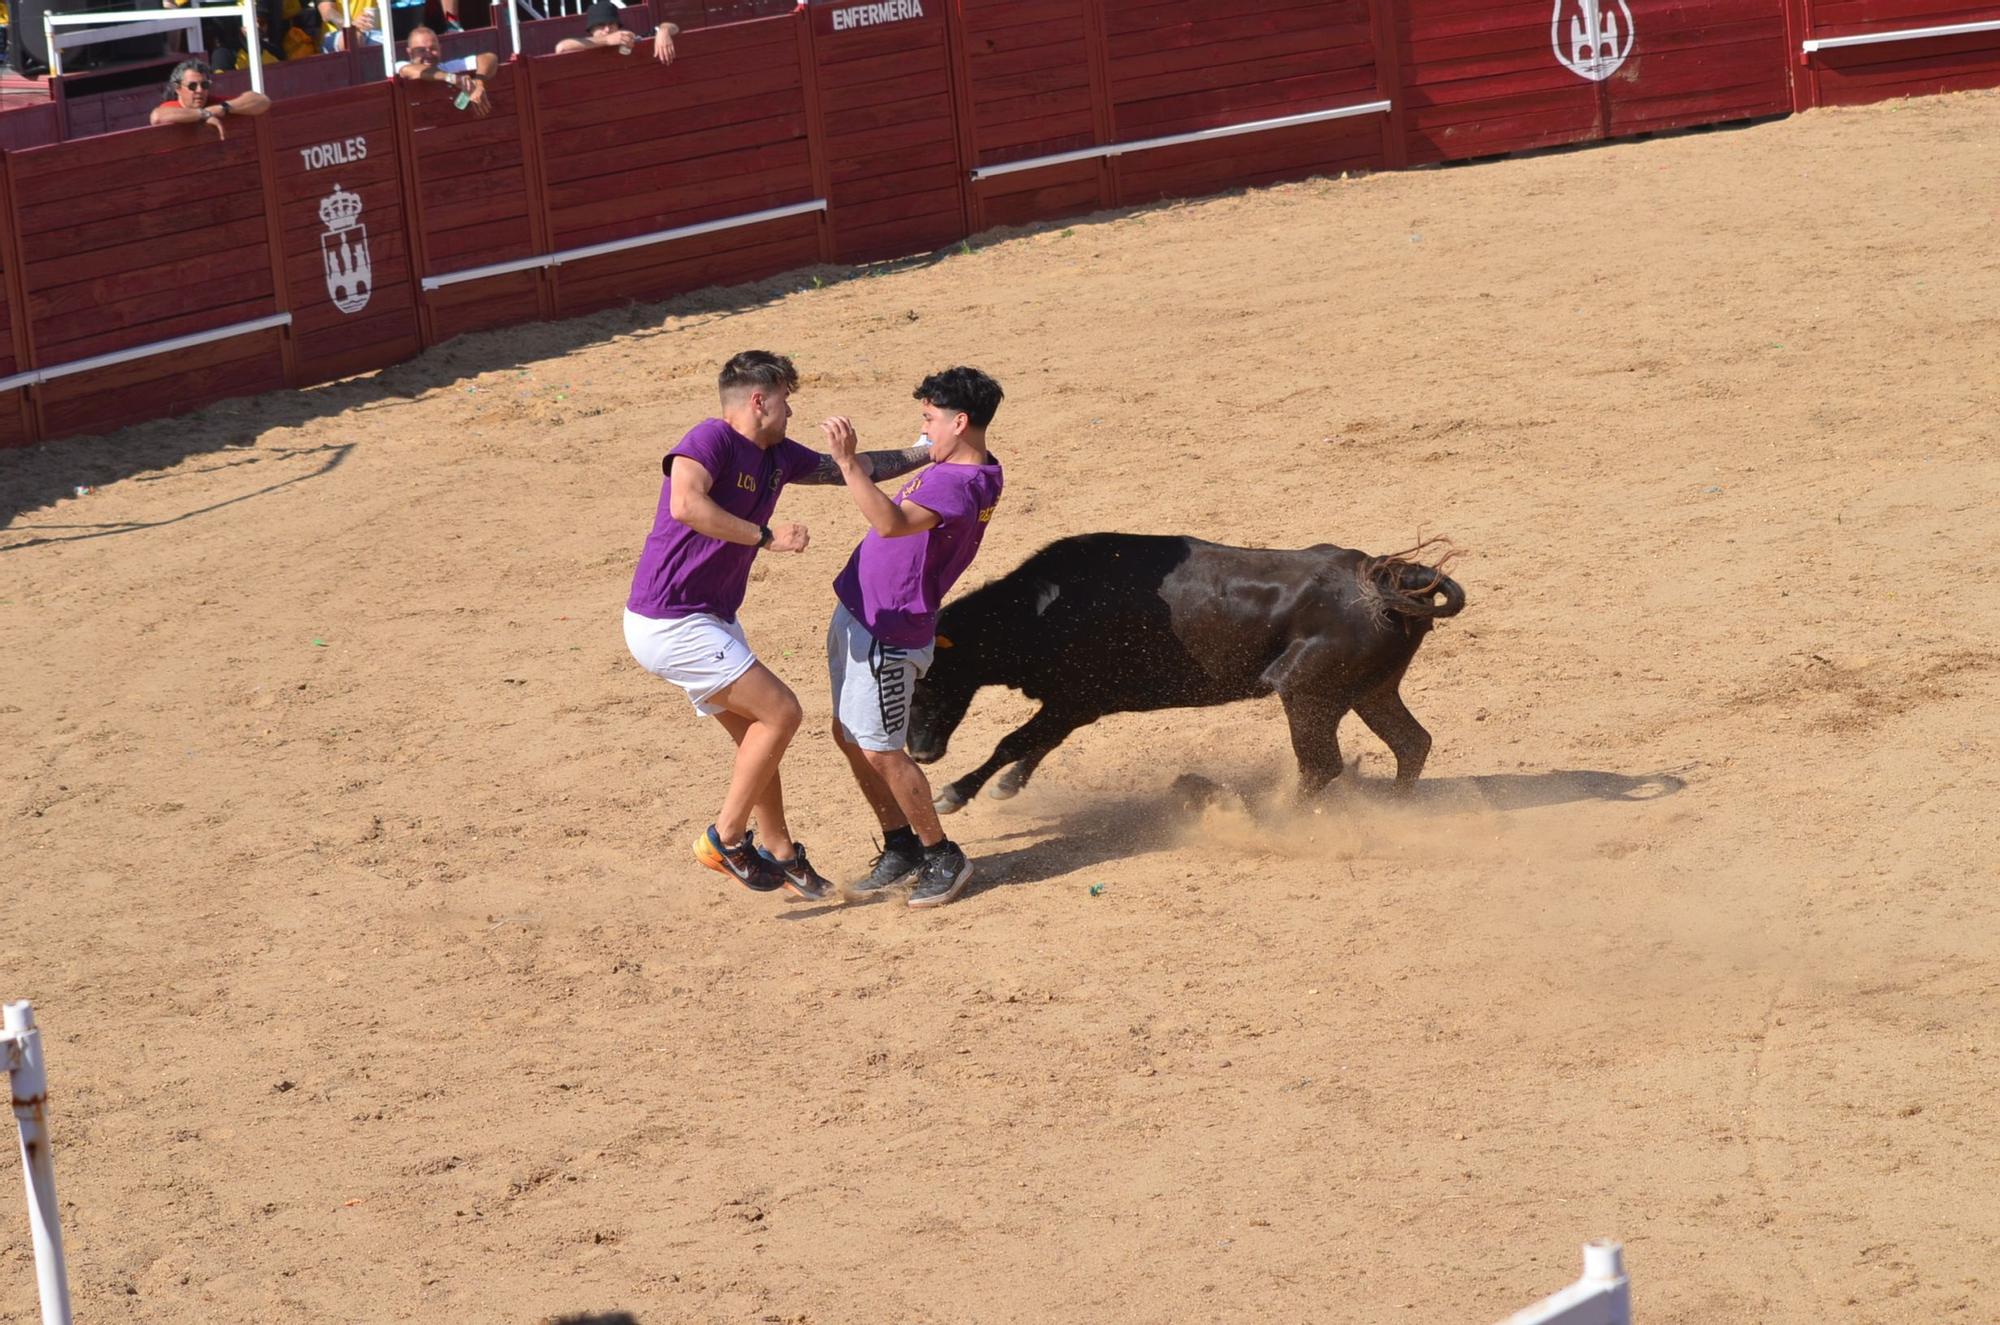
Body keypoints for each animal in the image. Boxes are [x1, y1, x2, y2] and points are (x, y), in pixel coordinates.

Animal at [912, 536, 1472, 816]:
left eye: (929, 678)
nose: (920, 753)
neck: (1043, 608)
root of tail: (1391, 578)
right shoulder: (1077, 704)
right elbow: (1038, 742)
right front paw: (1008, 785)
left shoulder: (1077, 699)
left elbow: (1015, 739)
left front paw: (954, 793)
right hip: (1370, 690)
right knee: (1411, 742)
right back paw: (1394, 811)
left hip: (1305, 692)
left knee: (1322, 765)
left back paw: (1276, 819)